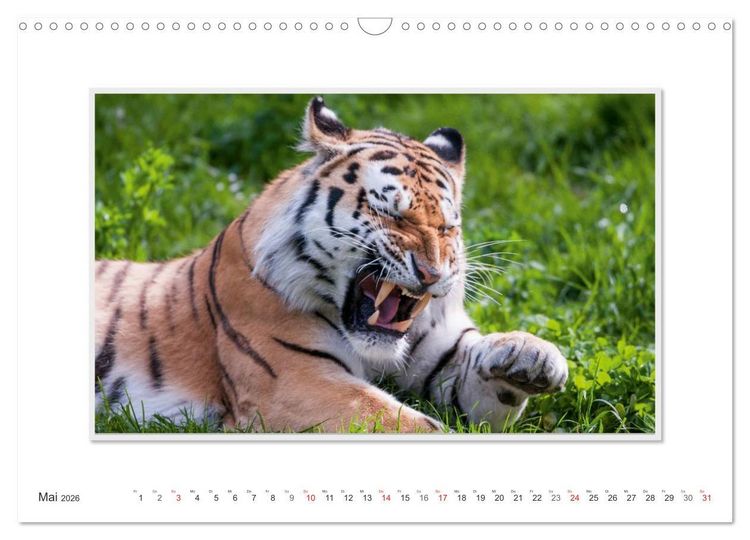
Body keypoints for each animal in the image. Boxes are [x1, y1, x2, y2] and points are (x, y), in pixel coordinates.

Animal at [94, 96, 568, 433]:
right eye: (393, 215)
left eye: (447, 226)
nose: (433, 274)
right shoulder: (294, 379)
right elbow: (408, 425)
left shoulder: (444, 354)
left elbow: (481, 366)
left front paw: (533, 355)